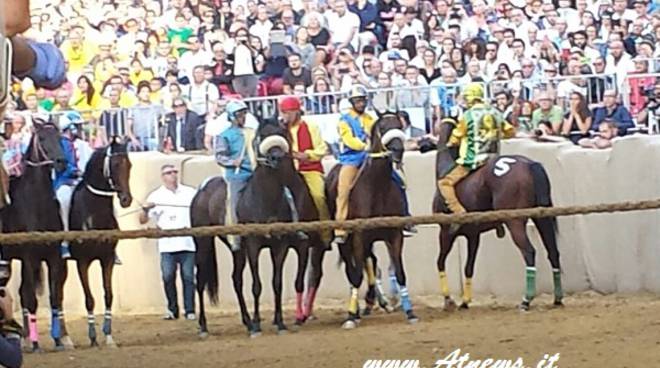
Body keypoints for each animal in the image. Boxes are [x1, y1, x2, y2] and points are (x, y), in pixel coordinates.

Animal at [1, 119, 69, 352]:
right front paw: (37, 343)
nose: (61, 162)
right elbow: (31, 299)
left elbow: (55, 297)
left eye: (60, 137)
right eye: (42, 138)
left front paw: (59, 340)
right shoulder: (30, 257)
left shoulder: (53, 256)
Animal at [63, 137, 133, 346]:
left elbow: (108, 295)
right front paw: (93, 337)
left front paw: (108, 336)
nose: (126, 199)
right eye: (115, 164)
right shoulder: (82, 262)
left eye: (129, 165)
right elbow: (89, 299)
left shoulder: (107, 259)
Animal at [326, 113, 418, 330]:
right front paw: (351, 316)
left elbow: (399, 272)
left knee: (371, 263)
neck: (377, 188)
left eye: (399, 124)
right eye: (382, 127)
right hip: (347, 242)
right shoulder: (359, 236)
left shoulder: (394, 236)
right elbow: (356, 275)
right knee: (352, 270)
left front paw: (410, 312)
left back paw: (373, 301)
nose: (398, 150)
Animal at [434, 117, 564, 310]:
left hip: (515, 222)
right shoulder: (473, 236)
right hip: (542, 218)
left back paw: (526, 300)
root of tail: (529, 164)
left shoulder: (445, 232)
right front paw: (464, 301)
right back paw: (557, 298)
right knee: (553, 251)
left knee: (529, 252)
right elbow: (469, 267)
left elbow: (440, 262)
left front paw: (448, 299)